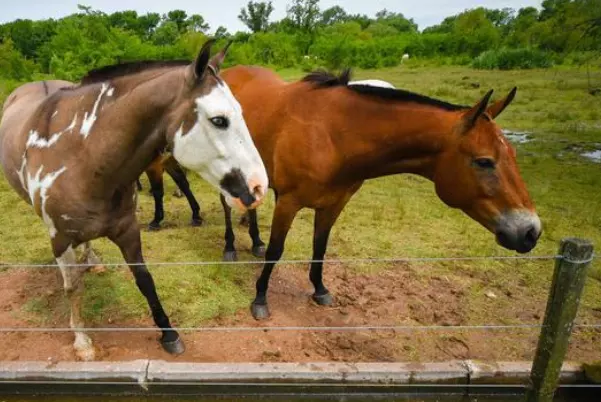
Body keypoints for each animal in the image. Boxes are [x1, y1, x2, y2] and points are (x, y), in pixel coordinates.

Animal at [0, 40, 268, 362]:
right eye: (219, 120)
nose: (259, 186)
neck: (83, 157)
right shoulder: (60, 239)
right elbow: (73, 287)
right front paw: (82, 341)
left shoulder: (128, 231)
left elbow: (145, 279)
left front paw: (168, 333)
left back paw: (92, 260)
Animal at [218, 67, 540, 322]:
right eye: (484, 161)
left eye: (512, 154)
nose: (530, 231)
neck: (333, 135)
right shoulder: (288, 202)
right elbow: (276, 251)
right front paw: (260, 298)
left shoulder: (334, 204)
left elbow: (320, 248)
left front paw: (319, 289)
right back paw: (230, 247)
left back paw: (255, 240)